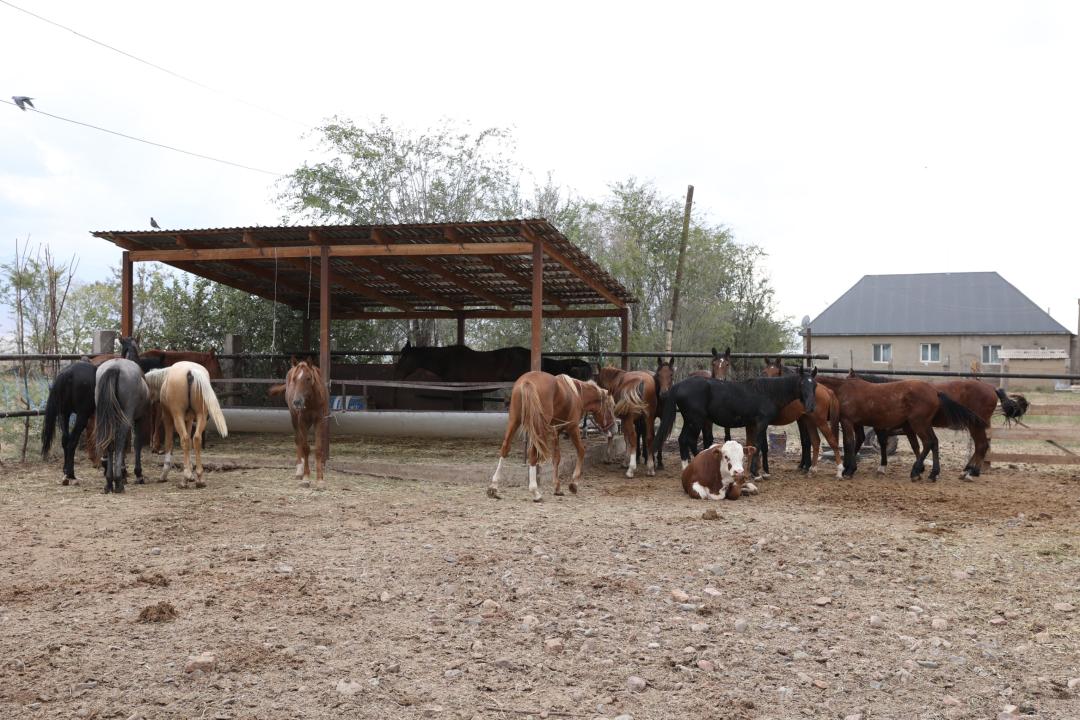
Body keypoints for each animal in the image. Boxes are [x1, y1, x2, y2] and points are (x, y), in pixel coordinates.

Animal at [267, 358, 326, 490]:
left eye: (308, 378)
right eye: (295, 379)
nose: (297, 402)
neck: (311, 401)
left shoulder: (320, 421)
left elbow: (319, 449)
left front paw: (320, 480)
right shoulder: (301, 421)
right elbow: (305, 448)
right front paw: (306, 478)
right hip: (294, 419)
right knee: (298, 440)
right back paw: (299, 470)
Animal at [490, 371, 617, 500]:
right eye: (610, 407)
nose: (614, 428)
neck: (577, 394)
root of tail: (527, 381)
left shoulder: (556, 431)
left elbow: (556, 458)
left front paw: (557, 487)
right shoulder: (572, 427)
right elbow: (581, 451)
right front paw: (574, 484)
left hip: (514, 421)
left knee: (505, 448)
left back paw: (494, 487)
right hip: (537, 429)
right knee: (532, 454)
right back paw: (535, 491)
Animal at [648, 367, 816, 479]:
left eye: (814, 385)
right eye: (802, 384)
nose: (810, 407)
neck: (767, 393)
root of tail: (678, 386)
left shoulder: (755, 424)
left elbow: (757, 446)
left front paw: (759, 471)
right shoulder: (762, 422)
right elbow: (759, 445)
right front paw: (756, 473)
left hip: (690, 421)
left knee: (684, 440)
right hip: (695, 421)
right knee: (687, 440)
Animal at [816, 375, 989, 481]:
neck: (842, 390)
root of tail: (935, 392)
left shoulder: (848, 421)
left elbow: (849, 443)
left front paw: (849, 470)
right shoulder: (858, 423)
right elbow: (857, 442)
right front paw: (848, 467)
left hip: (920, 424)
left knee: (930, 442)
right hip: (924, 424)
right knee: (934, 442)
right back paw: (934, 473)